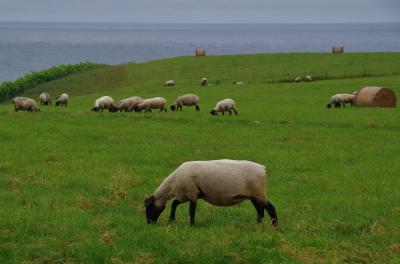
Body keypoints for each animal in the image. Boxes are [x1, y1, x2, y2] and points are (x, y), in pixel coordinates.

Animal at [144, 159, 278, 227]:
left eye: (149, 208)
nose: (149, 223)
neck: (172, 185)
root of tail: (262, 168)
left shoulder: (192, 193)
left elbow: (191, 210)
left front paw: (192, 225)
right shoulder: (185, 195)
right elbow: (174, 204)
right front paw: (171, 221)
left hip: (259, 192)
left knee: (270, 207)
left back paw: (275, 225)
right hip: (253, 195)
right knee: (260, 210)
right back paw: (258, 224)